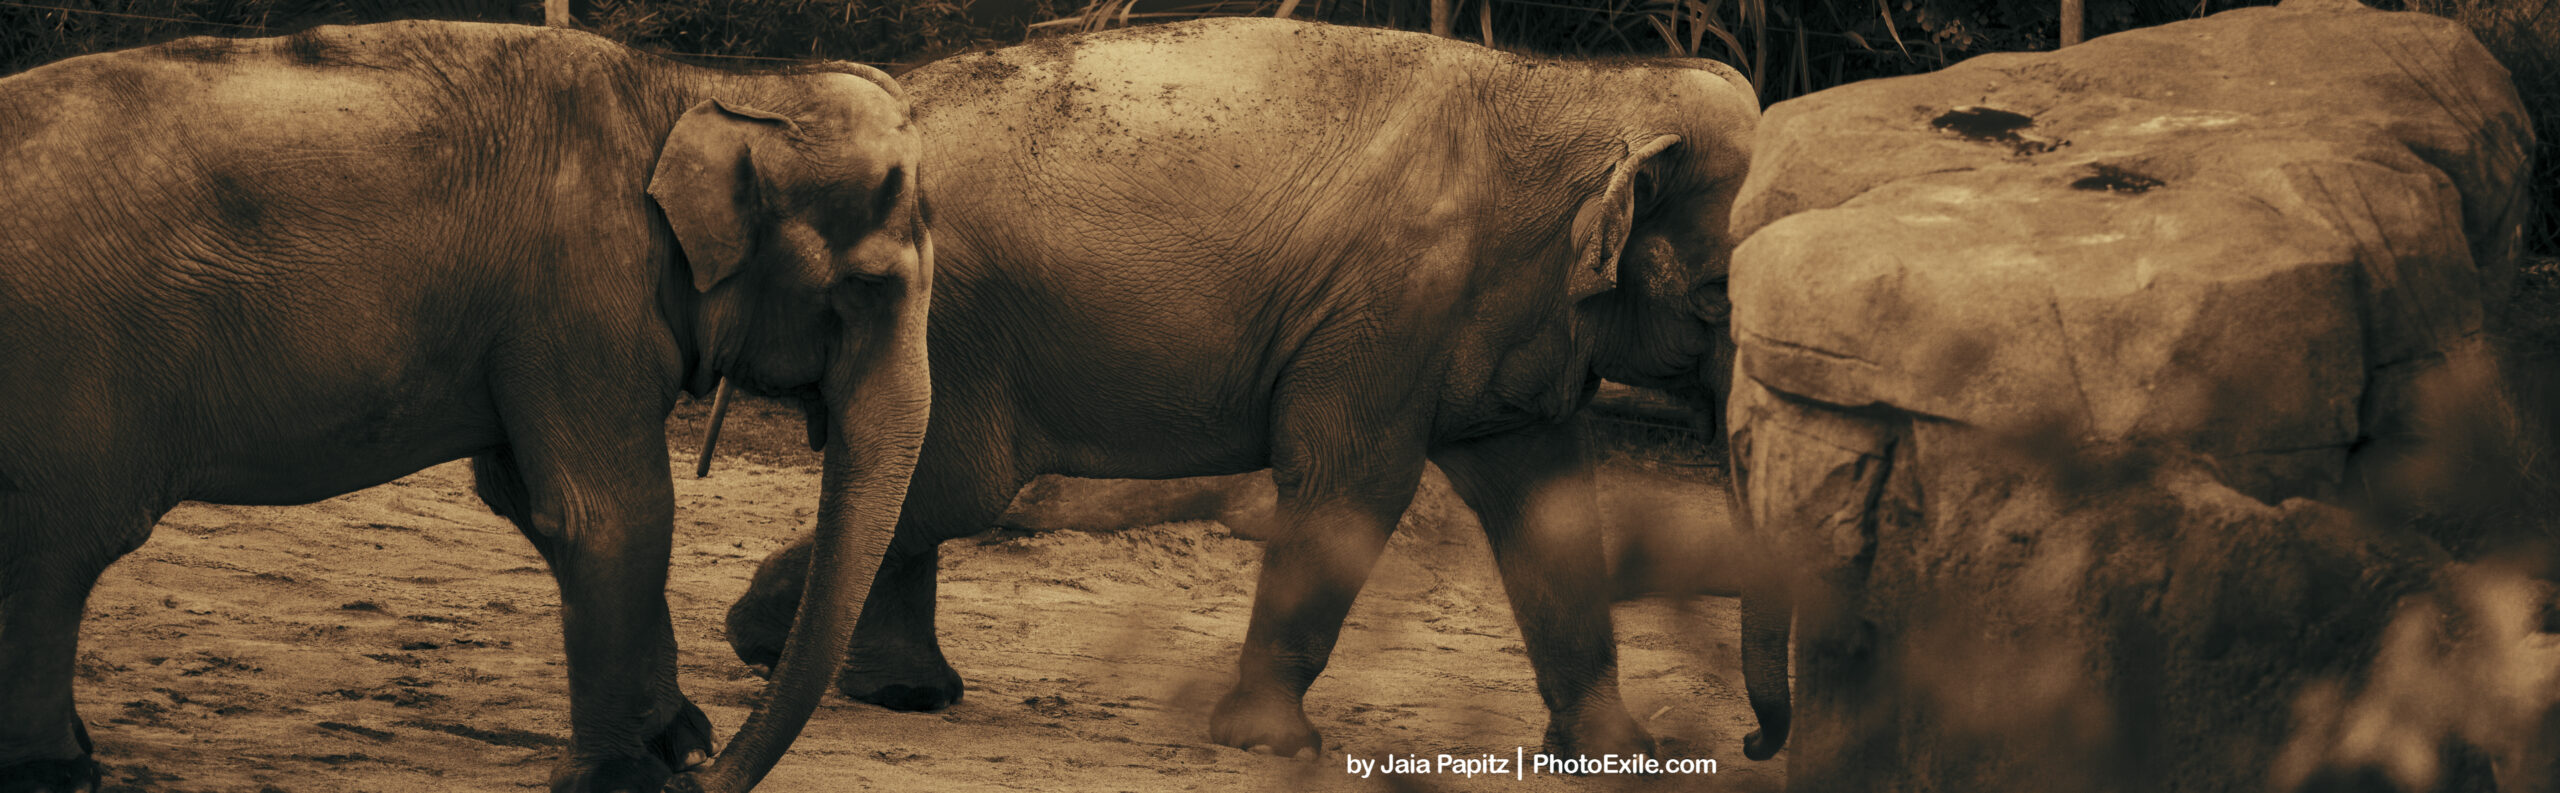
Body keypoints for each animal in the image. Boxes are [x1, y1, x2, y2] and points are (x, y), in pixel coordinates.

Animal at [0, 21, 930, 793]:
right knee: (62, 543)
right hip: (63, 354)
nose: (703, 780)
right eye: (867, 290)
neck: (703, 85)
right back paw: (59, 771)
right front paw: (623, 776)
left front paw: (674, 740)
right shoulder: (580, 287)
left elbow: (526, 498)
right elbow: (609, 515)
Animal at [721, 18, 1758, 759]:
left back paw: (883, 684)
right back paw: (774, 642)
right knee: (952, 485)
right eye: (1717, 294)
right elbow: (1354, 485)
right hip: (946, 316)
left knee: (924, 485)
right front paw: (1270, 744)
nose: (1750, 743)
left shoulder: (1503, 318)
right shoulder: (1392, 301)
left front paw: (1627, 753)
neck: (1581, 90)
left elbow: (1550, 503)